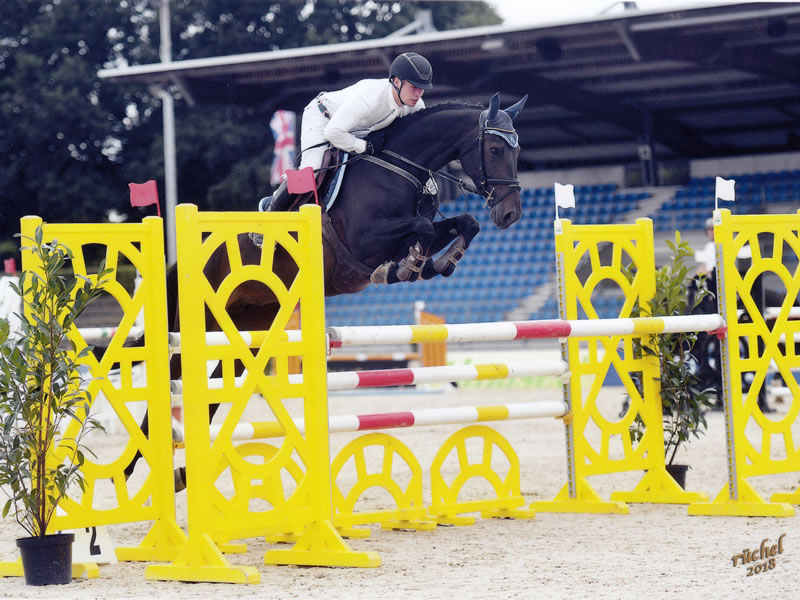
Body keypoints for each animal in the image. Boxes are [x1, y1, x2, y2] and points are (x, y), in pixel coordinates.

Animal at [123, 92, 524, 488]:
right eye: (494, 149)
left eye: (516, 149)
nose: (511, 215)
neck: (401, 166)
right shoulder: (366, 239)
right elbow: (423, 229)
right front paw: (407, 267)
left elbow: (463, 223)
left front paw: (435, 264)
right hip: (199, 325)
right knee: (173, 377)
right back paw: (136, 466)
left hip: (248, 329)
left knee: (220, 386)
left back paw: (182, 473)